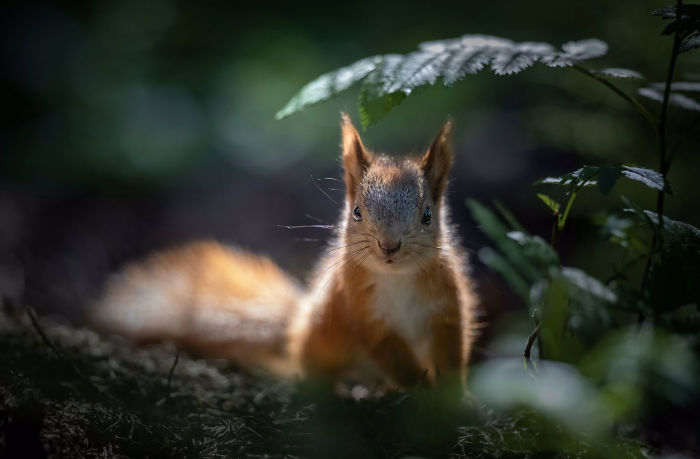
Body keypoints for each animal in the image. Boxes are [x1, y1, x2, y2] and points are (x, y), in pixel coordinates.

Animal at [90, 113, 477, 393]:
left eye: (427, 215)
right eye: (357, 212)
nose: (389, 246)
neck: (397, 279)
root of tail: (296, 328)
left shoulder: (447, 307)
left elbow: (452, 352)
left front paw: (455, 398)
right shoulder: (363, 313)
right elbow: (394, 356)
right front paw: (421, 388)